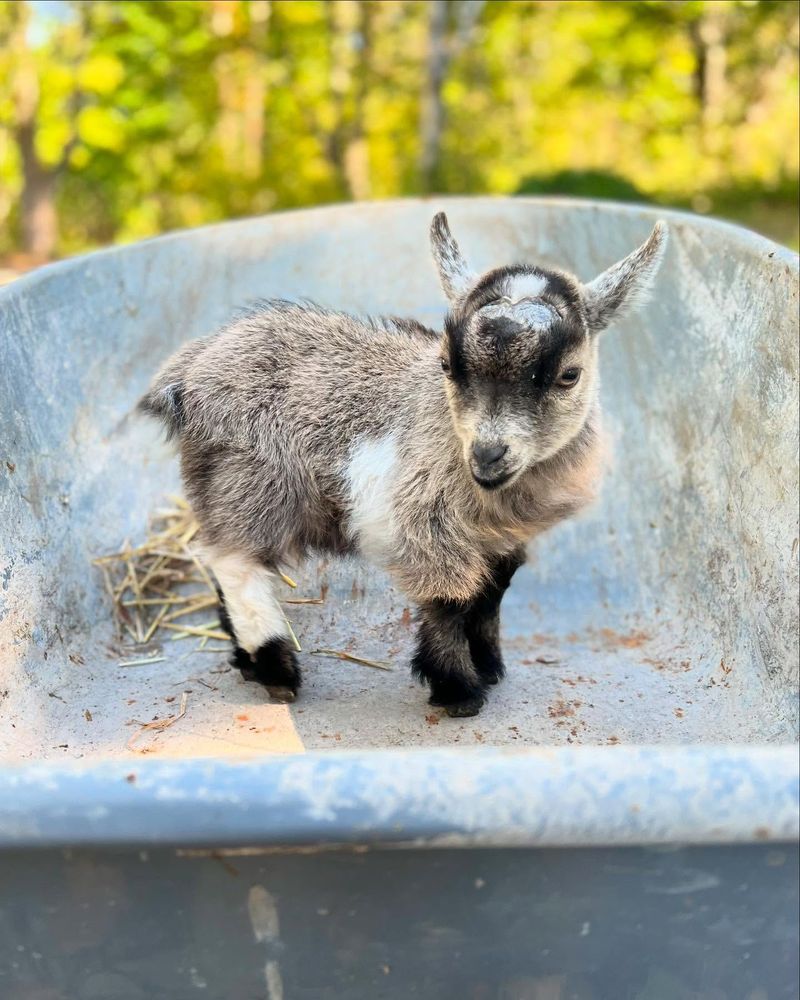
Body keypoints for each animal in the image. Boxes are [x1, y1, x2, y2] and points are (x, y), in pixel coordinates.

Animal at [141, 211, 664, 716]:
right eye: (448, 365)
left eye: (568, 375)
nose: (487, 454)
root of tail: (190, 371)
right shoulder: (419, 521)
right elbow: (451, 599)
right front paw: (458, 690)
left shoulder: (500, 538)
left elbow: (492, 594)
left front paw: (490, 666)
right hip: (250, 482)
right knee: (235, 562)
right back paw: (277, 670)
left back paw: (245, 659)